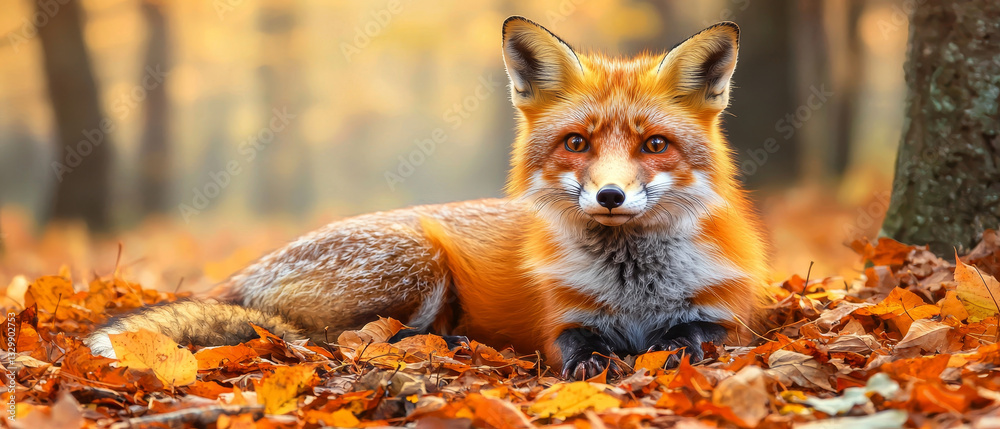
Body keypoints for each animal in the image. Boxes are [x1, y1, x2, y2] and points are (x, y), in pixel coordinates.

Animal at [86, 16, 768, 380]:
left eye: (655, 145)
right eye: (577, 142)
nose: (609, 195)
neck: (635, 291)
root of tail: (251, 270)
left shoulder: (728, 319)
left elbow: (693, 339)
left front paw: (664, 355)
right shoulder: (562, 323)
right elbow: (581, 351)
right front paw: (596, 369)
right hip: (416, 263)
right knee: (328, 343)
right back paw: (451, 345)